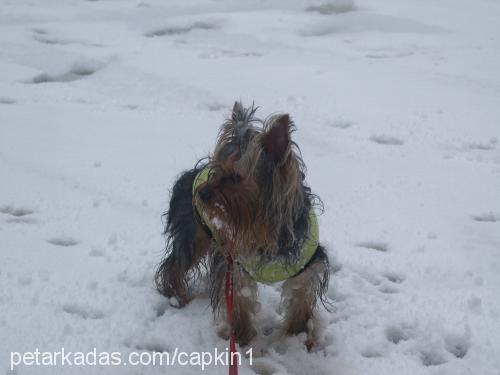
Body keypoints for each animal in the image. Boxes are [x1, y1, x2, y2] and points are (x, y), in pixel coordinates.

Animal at [154, 102, 330, 350]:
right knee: (175, 264)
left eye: (236, 178)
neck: (265, 231)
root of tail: (189, 175)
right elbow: (239, 297)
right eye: (216, 168)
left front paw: (297, 335)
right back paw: (178, 296)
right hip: (193, 232)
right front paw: (241, 337)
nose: (201, 193)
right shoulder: (237, 265)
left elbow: (301, 294)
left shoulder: (305, 263)